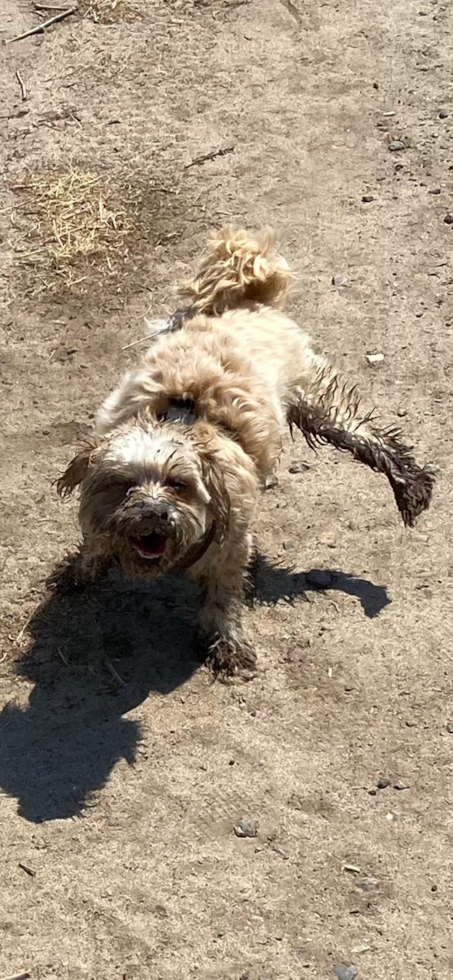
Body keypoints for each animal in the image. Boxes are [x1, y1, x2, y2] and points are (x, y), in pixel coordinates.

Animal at [57, 227, 434, 676]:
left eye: (179, 485)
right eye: (122, 485)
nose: (153, 513)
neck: (180, 419)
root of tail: (246, 299)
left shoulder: (232, 545)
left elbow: (222, 596)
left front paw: (227, 643)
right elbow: (95, 540)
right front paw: (83, 570)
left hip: (320, 404)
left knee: (369, 436)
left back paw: (410, 486)